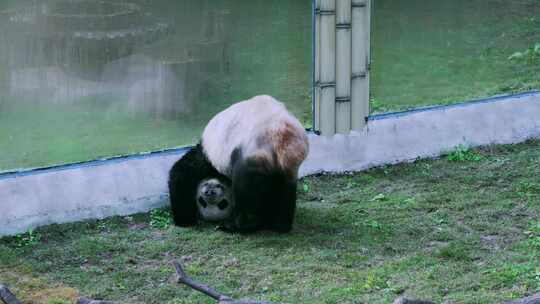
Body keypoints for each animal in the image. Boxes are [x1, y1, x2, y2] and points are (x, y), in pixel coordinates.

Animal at [169, 95, 312, 233]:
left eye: (222, 204)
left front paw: (184, 220)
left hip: (252, 155)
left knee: (245, 190)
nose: (210, 191)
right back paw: (280, 225)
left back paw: (238, 226)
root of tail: (281, 139)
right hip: (289, 165)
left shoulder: (209, 156)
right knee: (285, 190)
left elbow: (183, 174)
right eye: (204, 202)